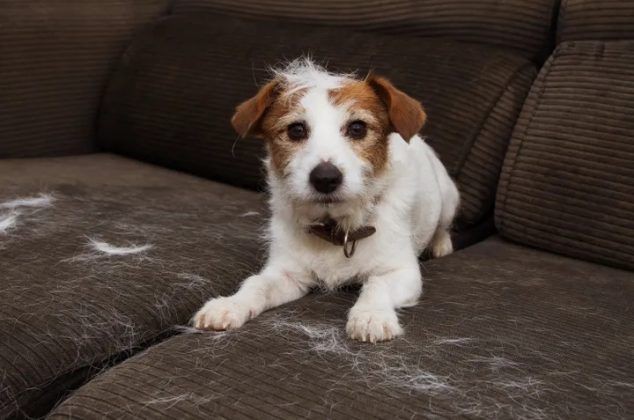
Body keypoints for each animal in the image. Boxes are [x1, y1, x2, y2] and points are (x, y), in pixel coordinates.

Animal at [193, 59, 459, 342]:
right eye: (296, 130)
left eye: (357, 128)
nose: (325, 178)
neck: (336, 229)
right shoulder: (287, 273)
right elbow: (257, 284)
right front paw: (230, 304)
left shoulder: (401, 272)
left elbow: (378, 284)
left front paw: (371, 315)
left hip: (448, 198)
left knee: (443, 225)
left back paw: (440, 244)